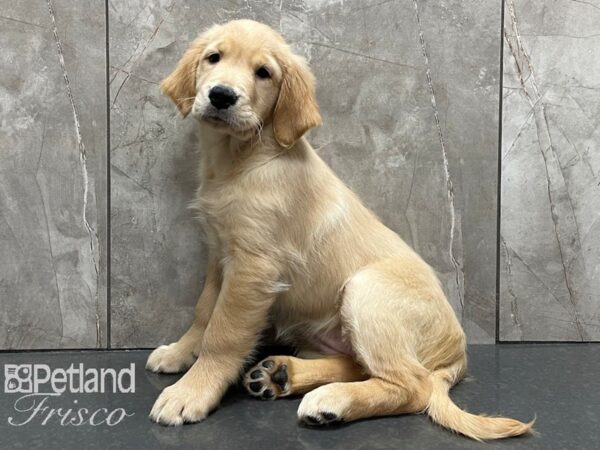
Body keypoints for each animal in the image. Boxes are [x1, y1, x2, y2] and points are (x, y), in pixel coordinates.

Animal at [145, 19, 533, 440]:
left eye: (263, 73)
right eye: (213, 57)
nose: (220, 95)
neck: (243, 158)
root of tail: (457, 354)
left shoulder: (253, 267)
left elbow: (223, 332)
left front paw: (191, 392)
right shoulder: (220, 253)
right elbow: (203, 312)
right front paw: (180, 352)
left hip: (366, 292)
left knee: (413, 385)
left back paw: (330, 400)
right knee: (360, 366)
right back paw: (282, 374)